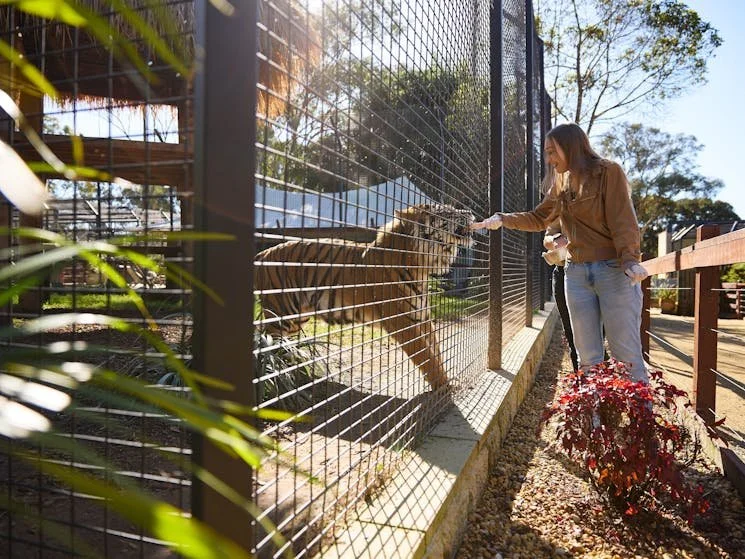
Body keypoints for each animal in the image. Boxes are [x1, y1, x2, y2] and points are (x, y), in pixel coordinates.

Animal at [254, 204, 475, 389]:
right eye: (446, 211)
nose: (470, 212)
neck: (421, 267)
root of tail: (262, 253)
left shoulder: (422, 316)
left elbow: (435, 352)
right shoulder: (402, 321)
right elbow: (428, 358)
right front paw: (445, 388)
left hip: (296, 319)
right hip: (282, 315)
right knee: (270, 345)